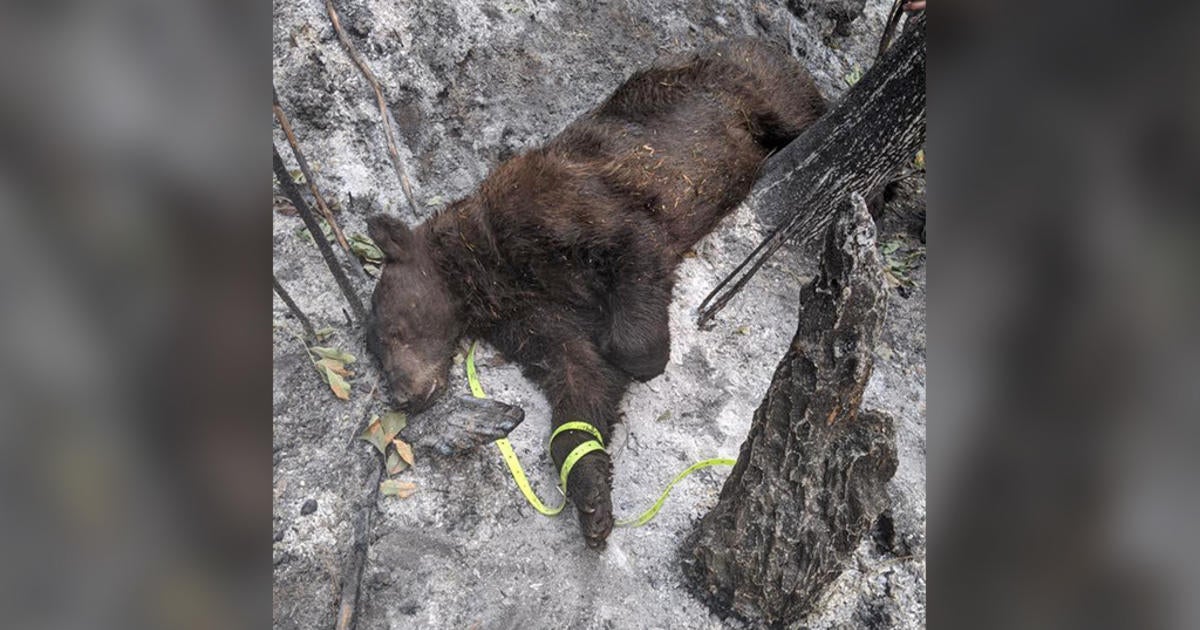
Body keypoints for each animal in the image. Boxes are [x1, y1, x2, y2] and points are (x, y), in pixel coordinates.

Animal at [367, 38, 825, 544]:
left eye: (393, 331)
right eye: (376, 350)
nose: (401, 395)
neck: (486, 275)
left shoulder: (570, 210)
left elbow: (633, 260)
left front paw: (640, 354)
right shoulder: (530, 313)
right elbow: (579, 374)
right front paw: (591, 496)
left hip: (754, 88)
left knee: (803, 113)